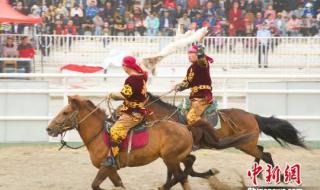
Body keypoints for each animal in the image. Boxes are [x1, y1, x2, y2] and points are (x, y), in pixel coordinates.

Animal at [46, 95, 195, 189]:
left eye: (65, 112)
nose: (49, 129)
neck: (99, 134)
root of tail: (185, 128)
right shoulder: (111, 171)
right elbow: (118, 184)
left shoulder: (106, 167)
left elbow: (95, 185)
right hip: (175, 158)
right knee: (187, 167)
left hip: (170, 158)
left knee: (181, 176)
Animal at [145, 93, 308, 178]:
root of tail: (252, 116)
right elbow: (189, 171)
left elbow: (190, 171)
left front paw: (210, 172)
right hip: (245, 145)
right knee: (261, 150)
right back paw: (258, 173)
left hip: (246, 145)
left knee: (266, 155)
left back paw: (279, 177)